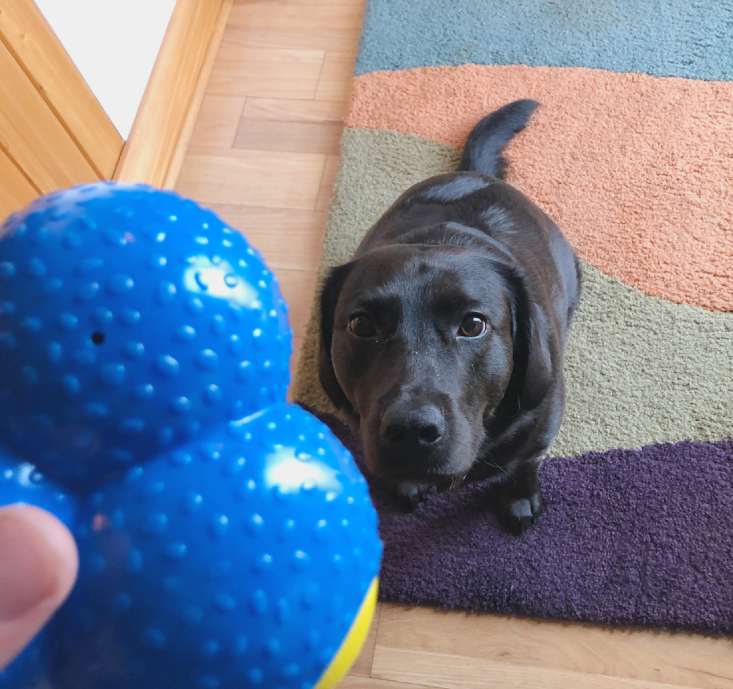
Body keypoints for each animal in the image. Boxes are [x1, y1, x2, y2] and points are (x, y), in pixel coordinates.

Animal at [318, 101, 580, 532]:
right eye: (361, 325)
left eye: (473, 325)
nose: (411, 430)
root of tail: (473, 173)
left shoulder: (542, 422)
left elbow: (525, 463)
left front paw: (520, 498)